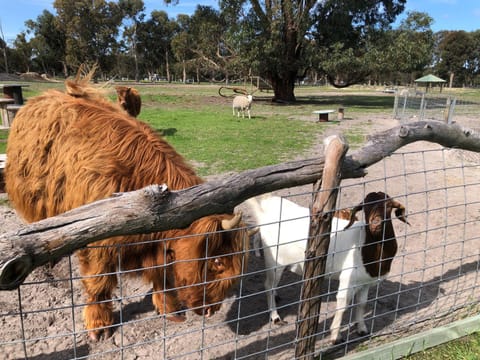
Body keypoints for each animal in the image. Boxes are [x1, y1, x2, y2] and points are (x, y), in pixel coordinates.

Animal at [248, 191, 408, 344]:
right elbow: (343, 305)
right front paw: (336, 337)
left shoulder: (366, 282)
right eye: (365, 208)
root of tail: (265, 210)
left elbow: (361, 303)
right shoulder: (347, 279)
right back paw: (275, 316)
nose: (375, 224)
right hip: (274, 260)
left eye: (388, 206)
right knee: (268, 285)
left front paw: (362, 329)